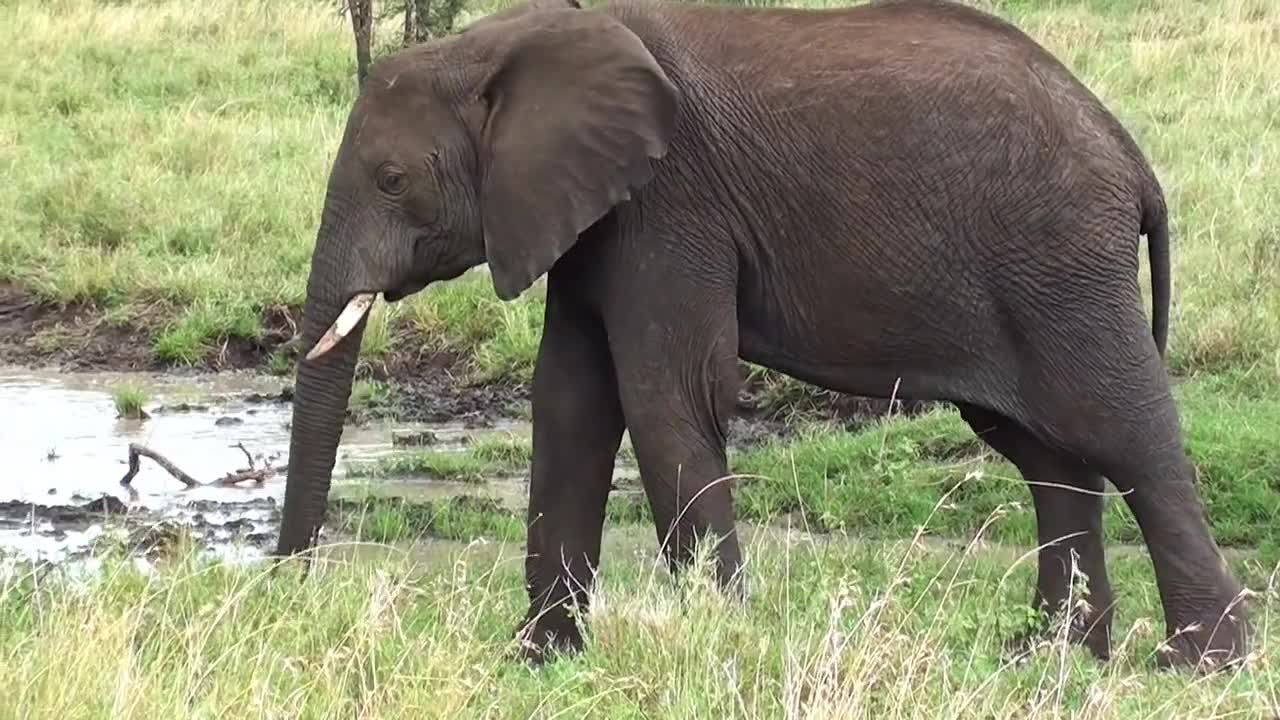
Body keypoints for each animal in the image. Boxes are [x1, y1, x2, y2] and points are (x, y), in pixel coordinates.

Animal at [277, 0, 1249, 671]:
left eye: (392, 179)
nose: (287, 595)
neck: (511, 39)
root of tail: (1130, 154)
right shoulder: (590, 217)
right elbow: (571, 407)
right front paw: (538, 660)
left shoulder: (668, 204)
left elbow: (666, 397)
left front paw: (716, 643)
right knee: (1048, 453)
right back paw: (1047, 655)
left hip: (1060, 264)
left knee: (1122, 433)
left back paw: (1197, 665)